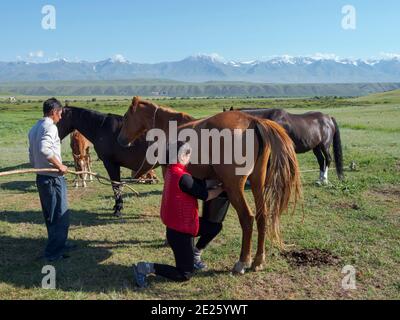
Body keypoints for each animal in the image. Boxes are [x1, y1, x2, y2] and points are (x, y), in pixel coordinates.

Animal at [115, 96, 300, 274]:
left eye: (126, 116)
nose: (120, 140)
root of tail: (253, 121)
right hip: (257, 184)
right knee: (262, 217)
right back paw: (258, 261)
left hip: (235, 188)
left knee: (247, 218)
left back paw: (242, 262)